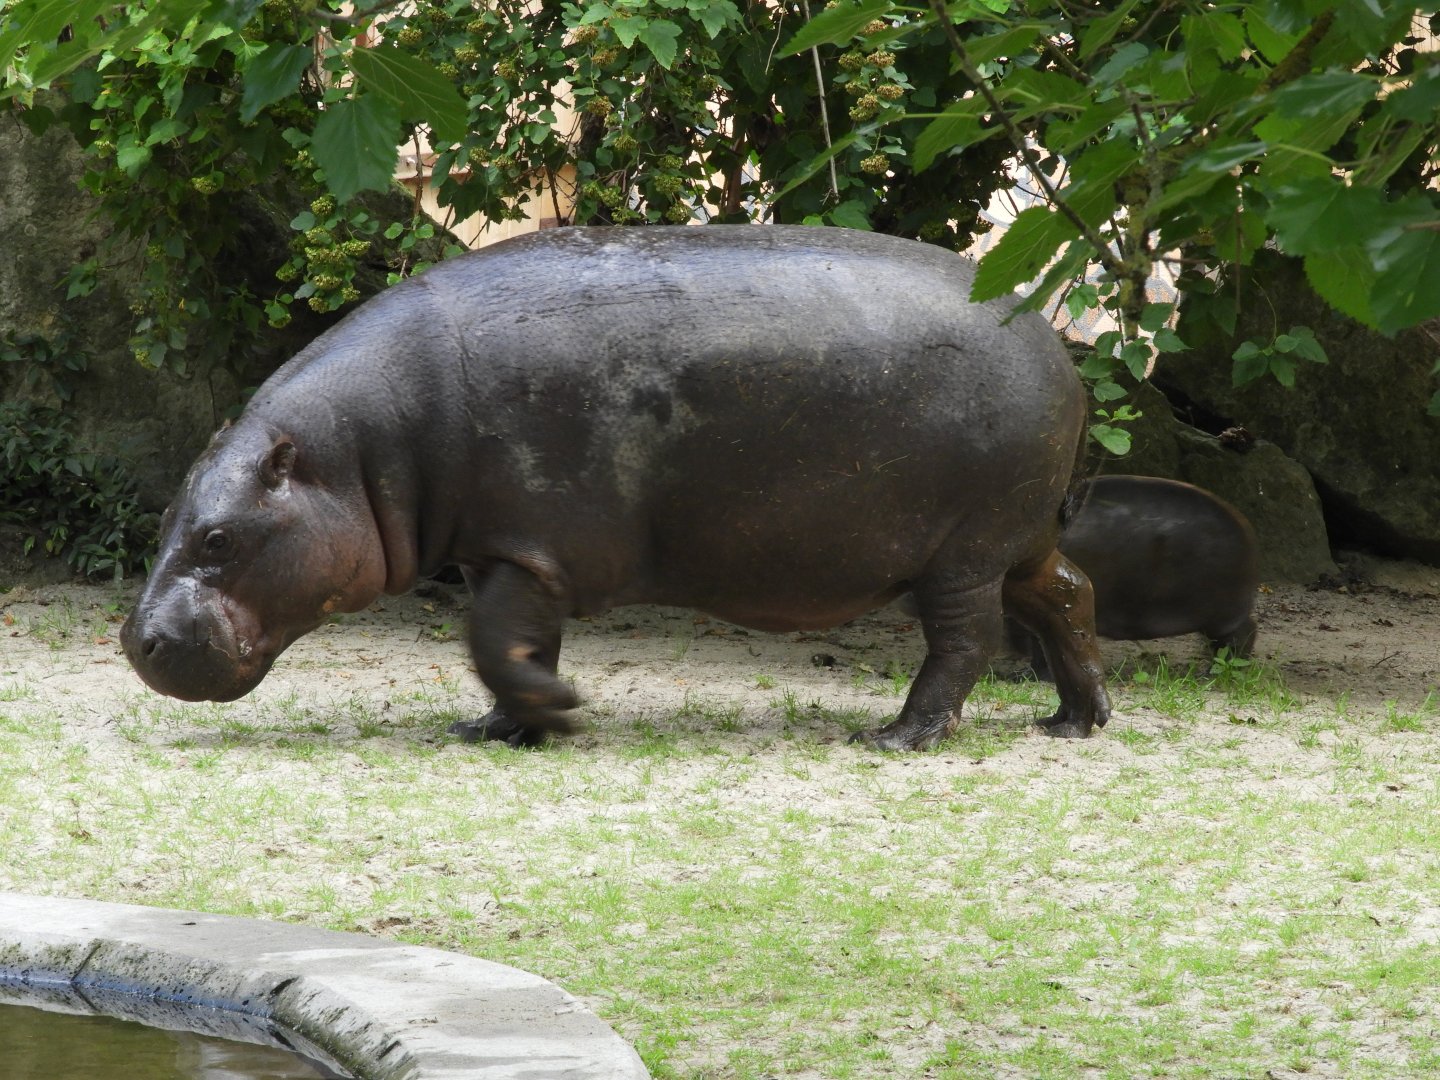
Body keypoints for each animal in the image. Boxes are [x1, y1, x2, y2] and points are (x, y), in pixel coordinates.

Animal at [121, 225, 1111, 750]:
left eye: (218, 538)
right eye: (169, 514)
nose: (136, 641)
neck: (359, 451)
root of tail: (1056, 338)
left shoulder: (532, 548)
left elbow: (493, 640)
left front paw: (558, 713)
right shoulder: (508, 552)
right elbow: (517, 643)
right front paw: (503, 728)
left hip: (963, 552)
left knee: (965, 641)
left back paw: (898, 737)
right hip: (1018, 539)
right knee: (1069, 592)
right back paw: (1074, 720)